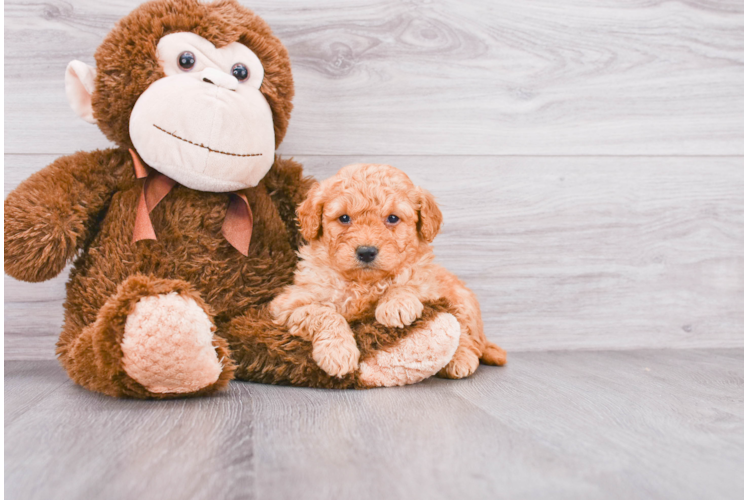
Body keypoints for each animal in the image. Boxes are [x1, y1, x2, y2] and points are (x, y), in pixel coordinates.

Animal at [270, 164, 508, 378]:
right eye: (344, 218)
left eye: (392, 218)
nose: (366, 252)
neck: (363, 283)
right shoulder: (287, 304)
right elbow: (324, 313)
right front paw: (338, 353)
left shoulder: (429, 286)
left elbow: (408, 281)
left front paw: (396, 303)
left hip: (462, 300)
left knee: (467, 335)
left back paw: (460, 360)